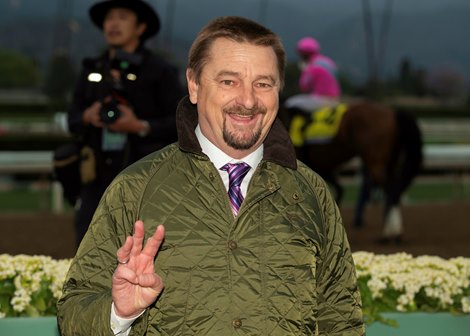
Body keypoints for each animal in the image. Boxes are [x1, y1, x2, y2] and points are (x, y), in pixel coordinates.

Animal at [280, 100, 424, 242]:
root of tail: (392, 113)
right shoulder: (323, 169)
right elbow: (338, 192)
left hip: (375, 162)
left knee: (391, 191)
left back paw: (389, 233)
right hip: (389, 162)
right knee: (395, 191)